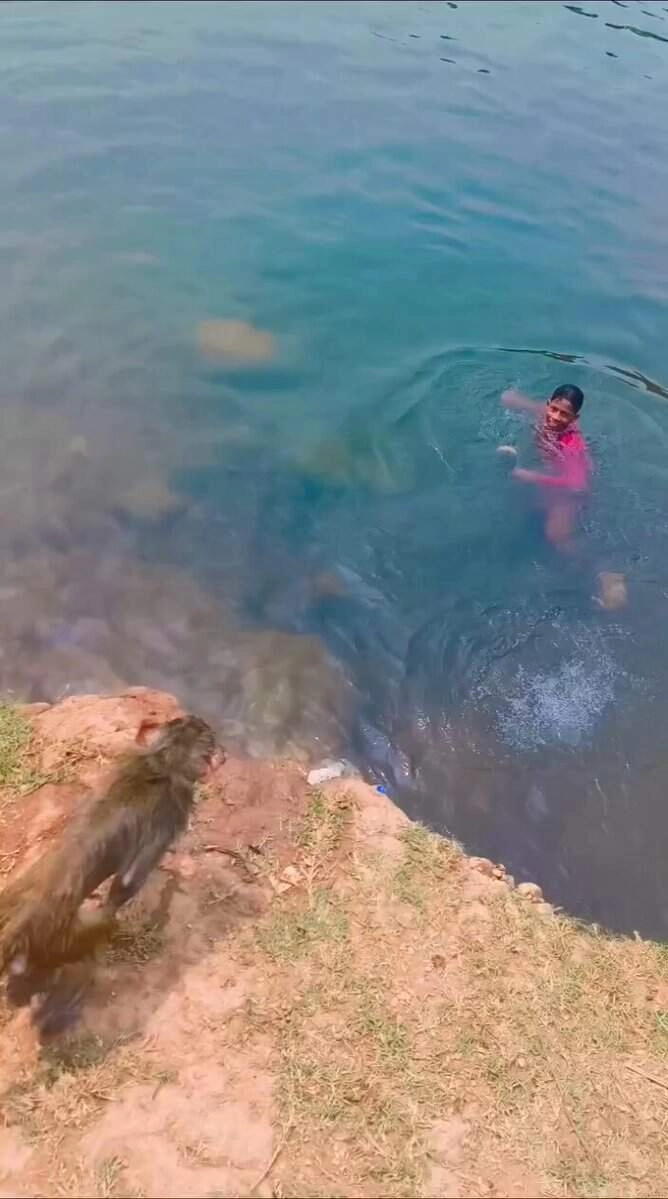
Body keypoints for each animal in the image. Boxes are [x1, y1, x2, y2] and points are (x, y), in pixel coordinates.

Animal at [0, 714, 223, 1036]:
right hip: (54, 939)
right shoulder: (174, 806)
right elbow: (129, 879)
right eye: (213, 743)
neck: (162, 761)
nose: (223, 755)